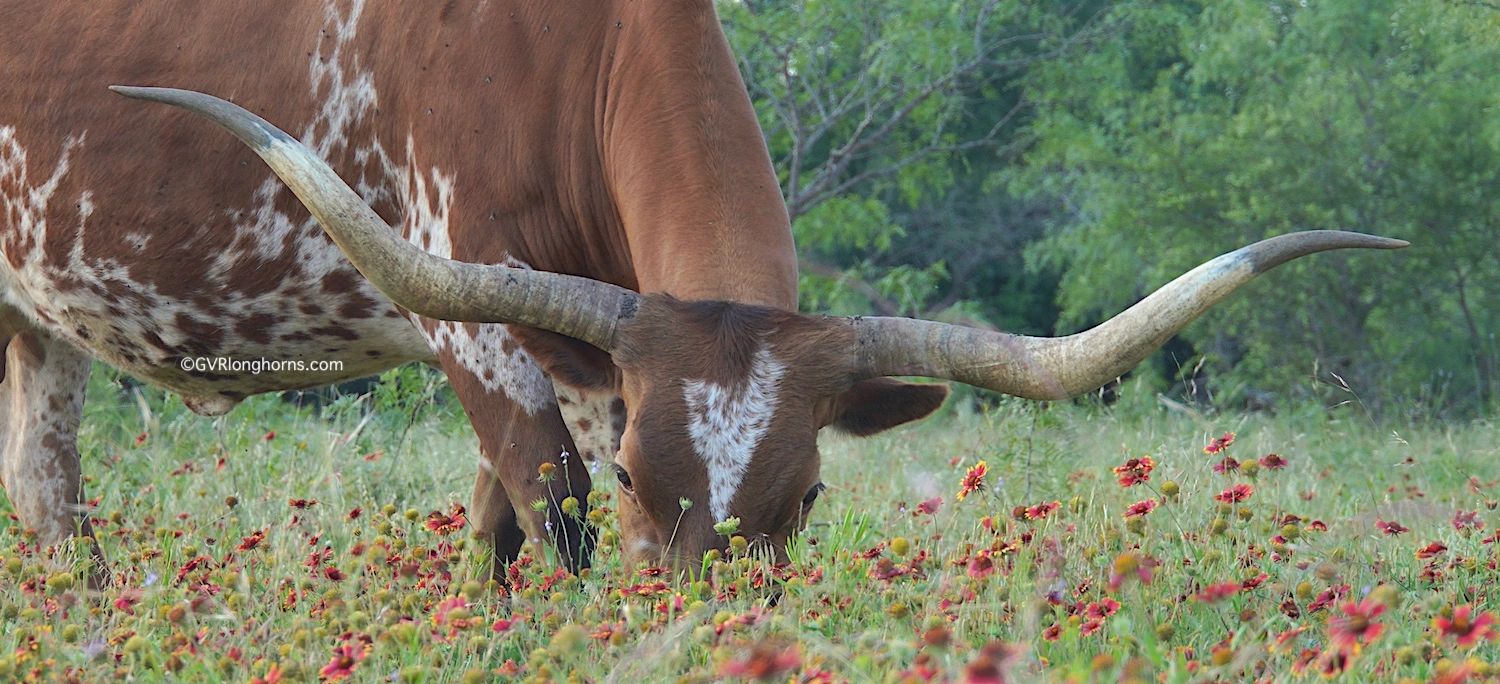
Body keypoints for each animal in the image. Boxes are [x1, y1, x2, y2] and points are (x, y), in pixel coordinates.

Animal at [1, 2, 1403, 577]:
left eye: (810, 494)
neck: (567, 51)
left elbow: (492, 538)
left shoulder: (567, 350)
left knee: (49, 500)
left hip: (32, 321)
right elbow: (553, 529)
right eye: (639, 480)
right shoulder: (477, 321)